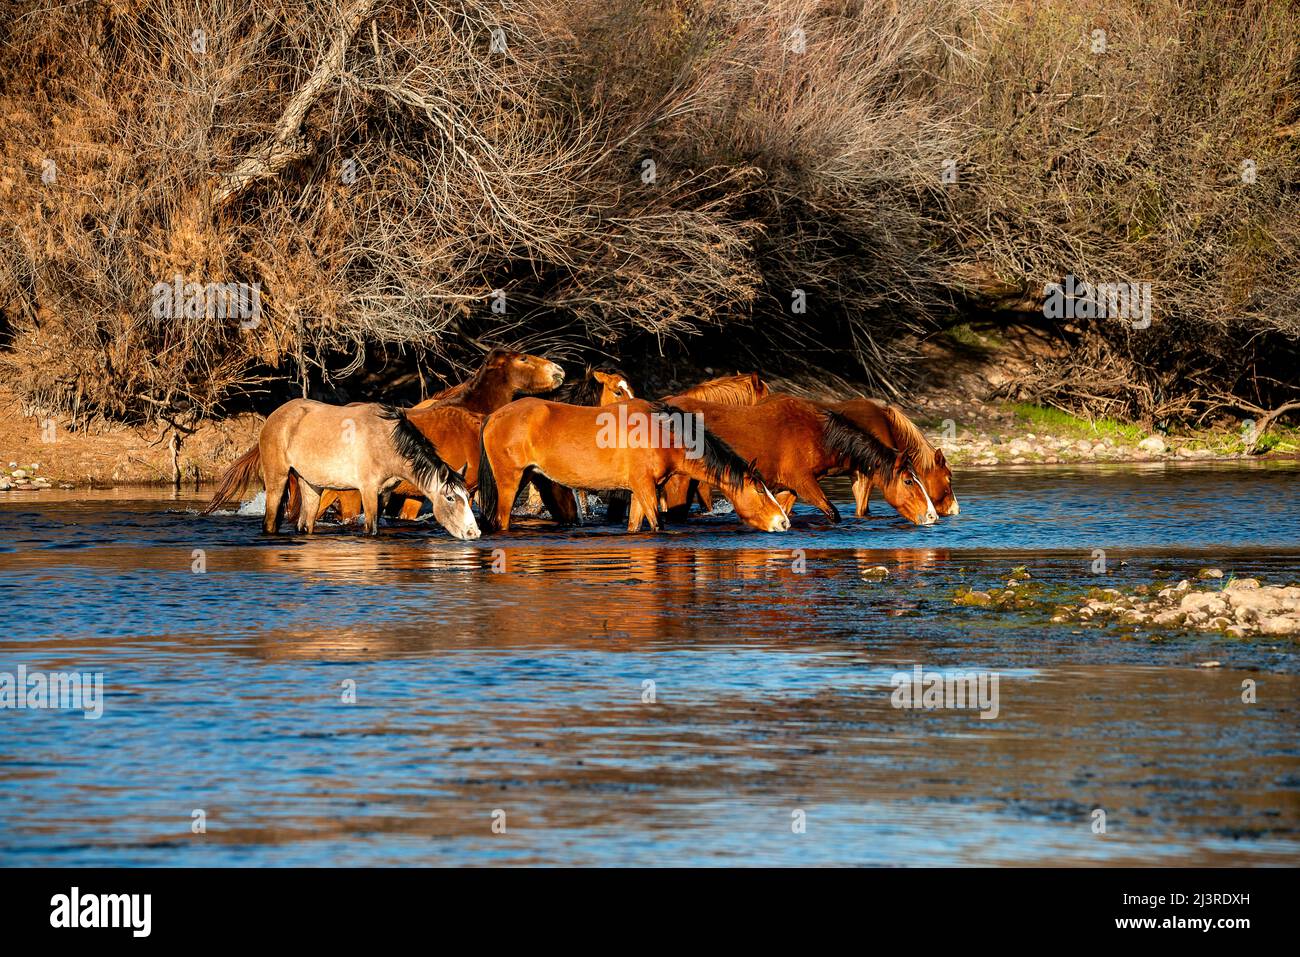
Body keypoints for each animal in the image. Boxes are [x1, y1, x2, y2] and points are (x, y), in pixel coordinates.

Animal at [205, 397, 480, 538]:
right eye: (450, 498)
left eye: (467, 497)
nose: (473, 532)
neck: (386, 441)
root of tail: (273, 417)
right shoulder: (367, 490)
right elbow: (371, 528)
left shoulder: (384, 493)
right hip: (278, 478)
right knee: (270, 522)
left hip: (311, 485)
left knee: (305, 524)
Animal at [475, 397, 780, 538]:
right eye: (760, 491)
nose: (783, 522)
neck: (660, 432)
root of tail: (494, 416)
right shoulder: (645, 488)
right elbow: (657, 525)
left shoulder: (640, 490)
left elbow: (635, 526)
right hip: (509, 481)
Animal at [665, 397, 941, 530]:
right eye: (908, 481)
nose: (932, 516)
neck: (818, 433)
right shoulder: (804, 483)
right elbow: (833, 513)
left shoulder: (790, 488)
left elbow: (784, 513)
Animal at [821, 395, 956, 514]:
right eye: (948, 478)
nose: (955, 509)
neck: (888, 427)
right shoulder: (868, 475)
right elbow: (862, 510)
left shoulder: (855, 475)